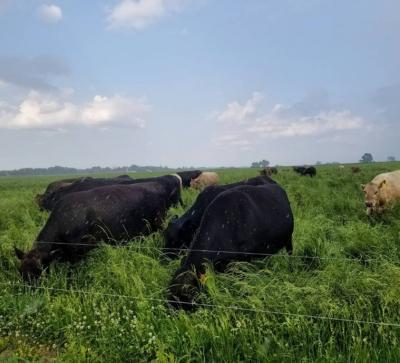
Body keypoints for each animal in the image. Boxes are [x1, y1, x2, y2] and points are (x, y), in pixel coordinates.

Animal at [16, 175, 183, 282]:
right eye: (21, 271)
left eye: (38, 270)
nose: (29, 290)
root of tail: (156, 183)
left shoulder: (77, 250)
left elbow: (72, 272)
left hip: (158, 224)